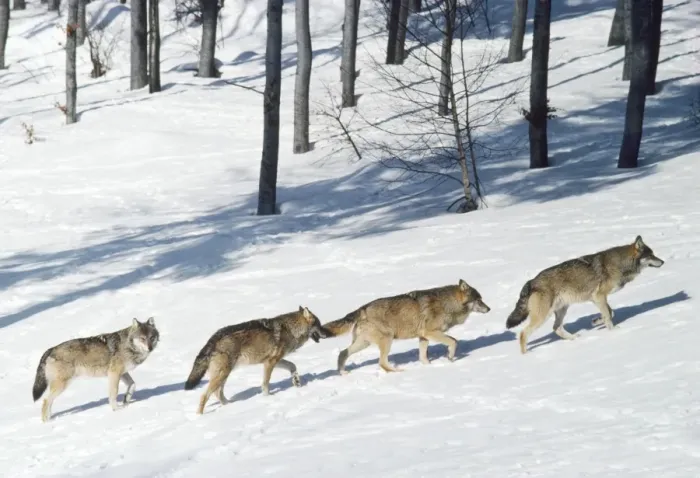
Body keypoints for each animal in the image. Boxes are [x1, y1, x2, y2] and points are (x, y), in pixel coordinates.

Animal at [32, 317, 160, 422]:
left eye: (151, 337)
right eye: (142, 338)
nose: (150, 348)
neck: (128, 346)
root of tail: (51, 349)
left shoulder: (123, 373)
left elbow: (132, 385)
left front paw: (126, 399)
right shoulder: (114, 374)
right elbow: (113, 393)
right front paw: (116, 409)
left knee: (49, 402)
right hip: (62, 385)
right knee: (45, 401)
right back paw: (47, 422)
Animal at [184, 306, 331, 415]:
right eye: (320, 325)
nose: (328, 333)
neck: (290, 329)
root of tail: (213, 338)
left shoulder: (275, 360)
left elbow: (293, 366)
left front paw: (296, 381)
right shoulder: (270, 362)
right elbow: (265, 383)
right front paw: (268, 397)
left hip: (224, 375)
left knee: (217, 393)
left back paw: (231, 406)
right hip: (222, 374)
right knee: (205, 395)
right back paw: (200, 416)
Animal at [323, 279, 491, 374]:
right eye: (479, 300)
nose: (489, 309)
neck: (447, 303)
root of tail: (362, 309)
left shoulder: (423, 337)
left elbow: (423, 356)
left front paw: (429, 366)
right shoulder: (430, 333)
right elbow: (454, 341)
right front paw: (450, 357)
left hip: (364, 343)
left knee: (343, 353)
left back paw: (343, 373)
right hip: (387, 340)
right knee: (381, 363)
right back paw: (399, 371)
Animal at [506, 235, 664, 354]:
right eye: (651, 255)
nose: (663, 261)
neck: (620, 264)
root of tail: (531, 281)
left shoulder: (597, 298)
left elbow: (610, 312)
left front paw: (596, 321)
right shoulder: (599, 296)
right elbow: (608, 315)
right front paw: (613, 331)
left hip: (562, 310)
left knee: (556, 328)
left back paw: (574, 338)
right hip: (542, 316)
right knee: (523, 333)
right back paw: (527, 355)